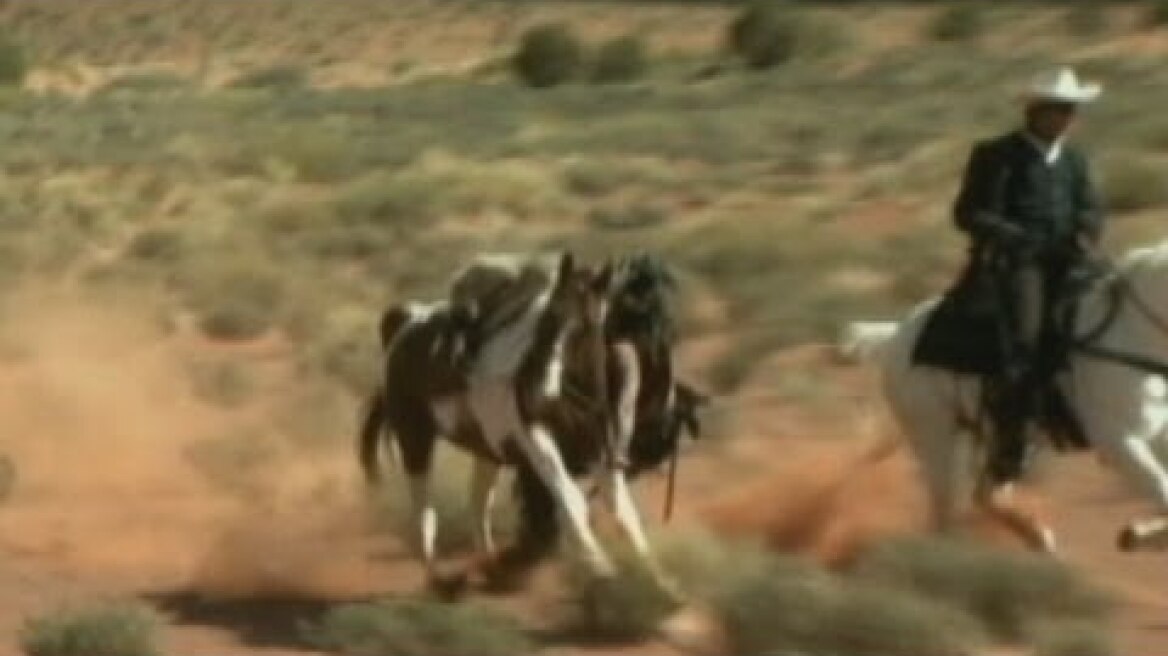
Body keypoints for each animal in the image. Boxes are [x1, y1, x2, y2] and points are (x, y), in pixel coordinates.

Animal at [358, 251, 691, 591]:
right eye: (547, 321)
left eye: (584, 329)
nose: (541, 389)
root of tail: (405, 322)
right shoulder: (535, 440)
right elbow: (571, 501)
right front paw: (601, 567)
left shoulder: (600, 451)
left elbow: (624, 512)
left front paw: (660, 580)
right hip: (414, 437)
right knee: (424, 510)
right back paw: (437, 578)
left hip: (486, 451)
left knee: (478, 503)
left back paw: (490, 566)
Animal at [842, 239, 1168, 554]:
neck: (1130, 337)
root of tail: (896, 335)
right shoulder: (1119, 441)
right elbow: (1161, 488)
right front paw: (1134, 534)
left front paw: (1134, 534)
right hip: (939, 440)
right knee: (947, 513)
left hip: (1011, 440)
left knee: (985, 495)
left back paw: (1038, 537)